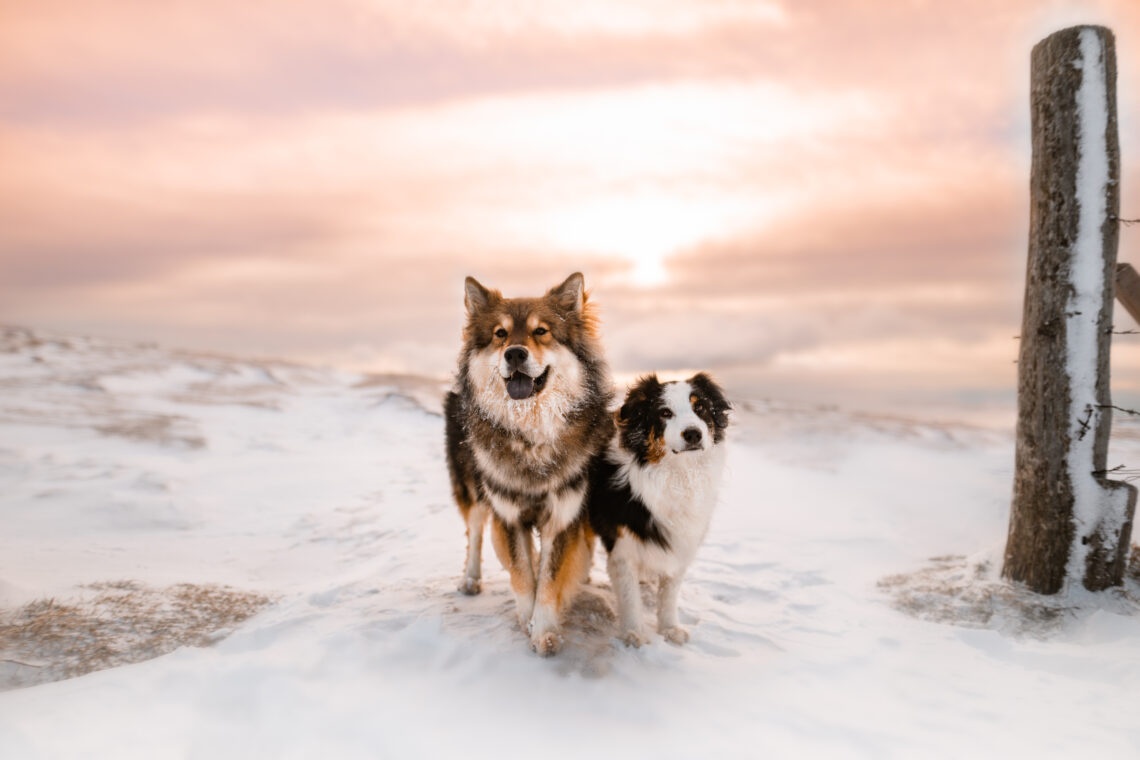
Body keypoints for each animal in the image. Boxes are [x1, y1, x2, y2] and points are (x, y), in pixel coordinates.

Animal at [442, 273, 615, 656]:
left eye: (541, 331)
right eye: (500, 334)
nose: (515, 353)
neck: (531, 435)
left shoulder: (563, 516)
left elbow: (548, 579)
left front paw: (544, 630)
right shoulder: (508, 516)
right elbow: (522, 574)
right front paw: (528, 621)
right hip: (471, 486)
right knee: (474, 529)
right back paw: (470, 579)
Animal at [588, 373, 729, 647]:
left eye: (700, 408)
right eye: (665, 412)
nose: (693, 434)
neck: (677, 473)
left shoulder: (681, 541)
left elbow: (669, 593)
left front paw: (670, 628)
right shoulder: (623, 547)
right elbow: (629, 595)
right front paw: (633, 633)